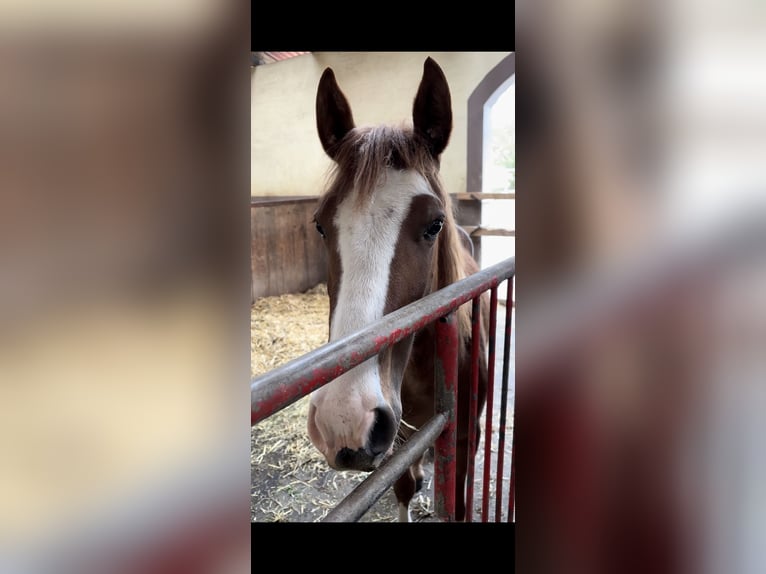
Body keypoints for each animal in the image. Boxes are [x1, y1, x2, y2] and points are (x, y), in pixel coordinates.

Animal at [308, 57, 492, 520]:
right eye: (320, 224)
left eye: (434, 224)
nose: (344, 418)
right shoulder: (399, 441)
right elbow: (405, 486)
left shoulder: (467, 437)